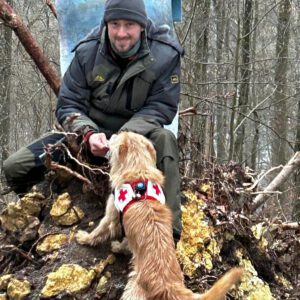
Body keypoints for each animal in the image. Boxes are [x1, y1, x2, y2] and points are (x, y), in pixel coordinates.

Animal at [76, 132, 243, 300]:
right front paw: (119, 246)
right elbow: (126, 244)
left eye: (119, 135)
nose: (111, 135)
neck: (139, 171)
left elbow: (98, 232)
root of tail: (170, 286)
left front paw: (85, 238)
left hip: (132, 291)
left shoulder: (111, 216)